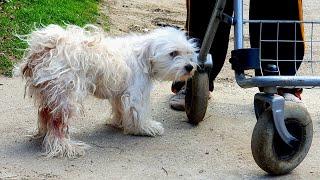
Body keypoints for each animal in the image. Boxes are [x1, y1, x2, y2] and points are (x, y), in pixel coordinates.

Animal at [15, 24, 198, 158]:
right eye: (173, 53)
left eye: (189, 53)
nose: (190, 67)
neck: (143, 56)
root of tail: (47, 46)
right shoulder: (135, 94)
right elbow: (138, 112)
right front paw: (145, 128)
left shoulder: (120, 93)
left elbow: (120, 109)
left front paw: (120, 123)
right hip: (66, 96)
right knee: (57, 124)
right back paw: (64, 146)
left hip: (51, 94)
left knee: (45, 114)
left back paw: (44, 135)